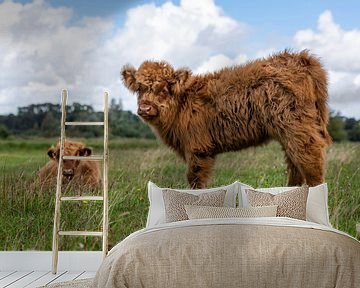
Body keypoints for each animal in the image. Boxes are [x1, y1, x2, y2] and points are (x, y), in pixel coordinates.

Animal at [121, 50, 332, 189]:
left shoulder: (198, 150)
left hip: (296, 127)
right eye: (139, 89)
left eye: (164, 88)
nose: (145, 108)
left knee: (310, 161)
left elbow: (195, 180)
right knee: (295, 164)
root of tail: (300, 58)